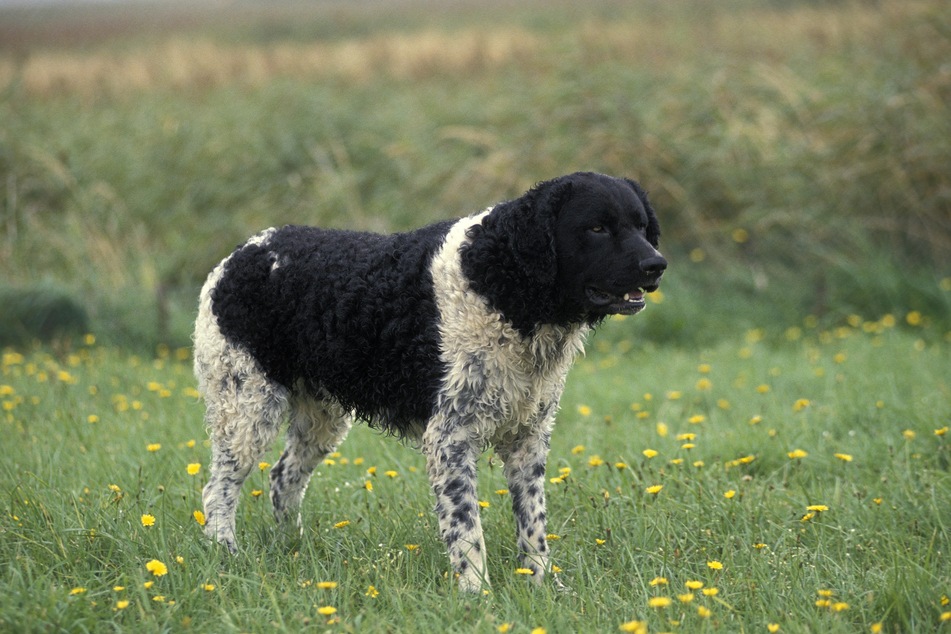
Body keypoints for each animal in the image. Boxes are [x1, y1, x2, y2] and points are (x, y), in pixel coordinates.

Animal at [194, 170, 668, 592]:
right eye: (596, 227)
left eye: (642, 226)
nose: (656, 265)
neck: (501, 284)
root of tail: (239, 255)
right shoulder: (449, 436)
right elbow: (467, 530)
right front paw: (477, 595)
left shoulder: (528, 436)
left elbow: (533, 528)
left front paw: (543, 588)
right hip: (247, 409)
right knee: (217, 491)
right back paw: (227, 556)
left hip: (320, 418)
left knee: (283, 479)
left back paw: (293, 549)